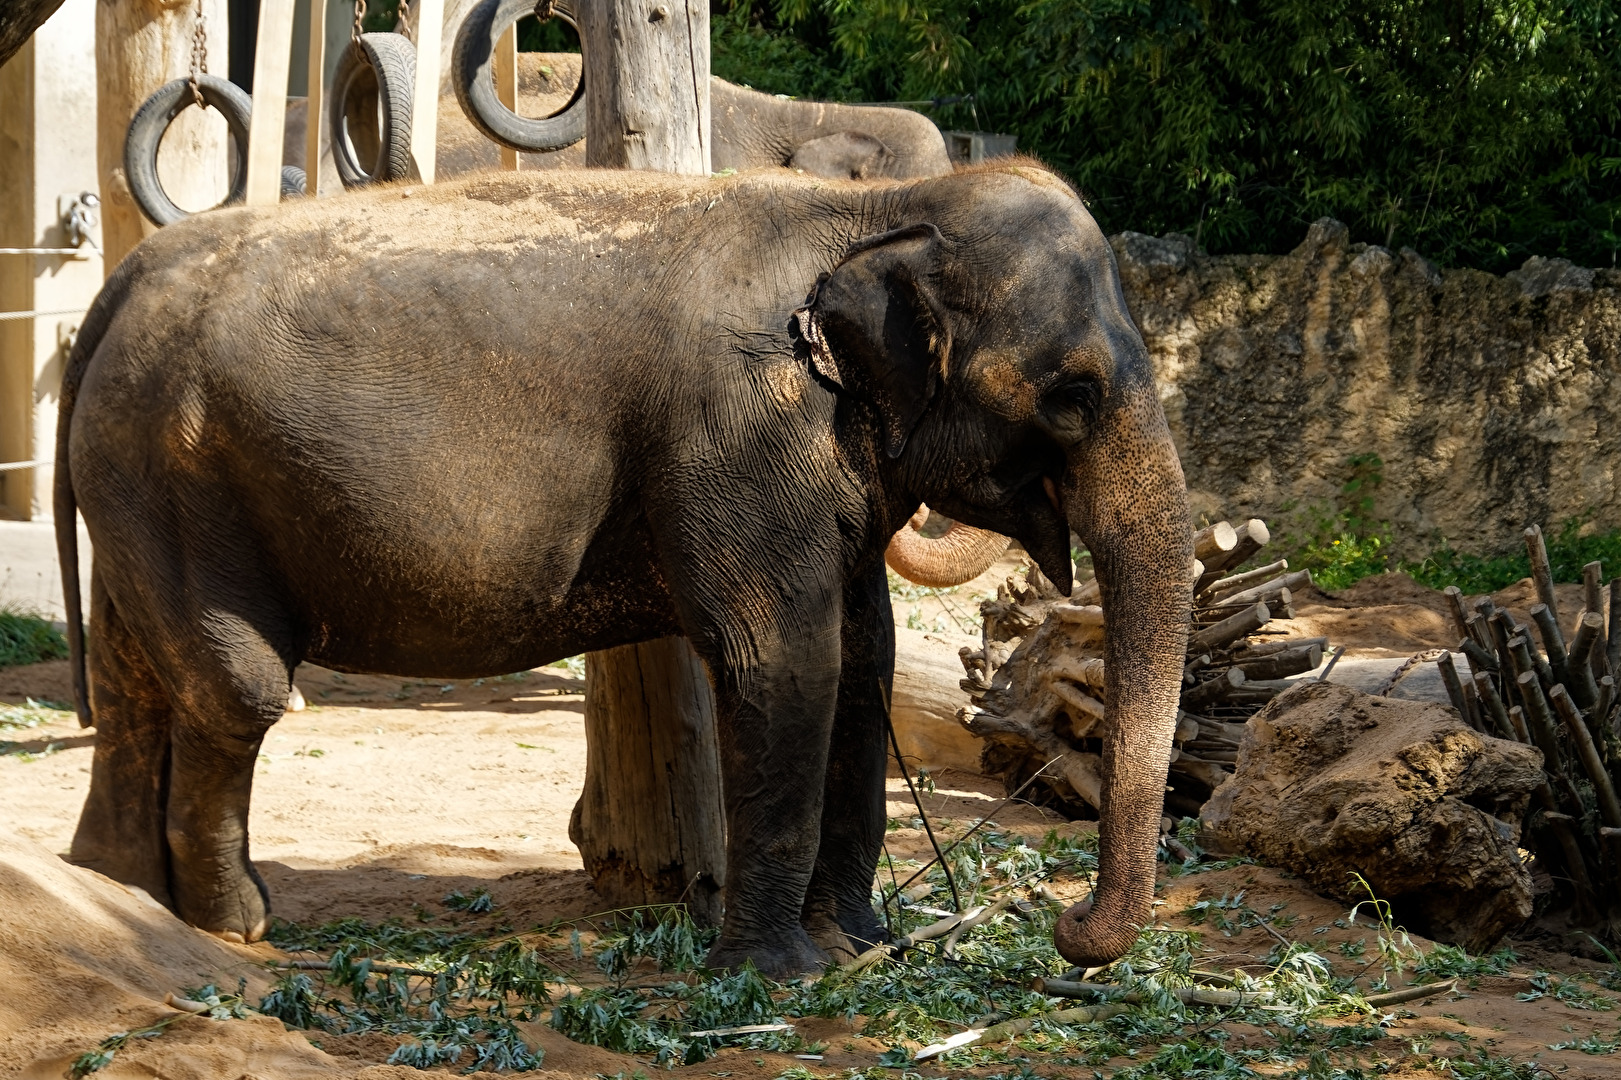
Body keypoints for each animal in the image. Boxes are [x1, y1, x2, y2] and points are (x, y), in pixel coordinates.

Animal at [55, 161, 1193, 977]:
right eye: (1073, 397)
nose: (1066, 928)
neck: (877, 207)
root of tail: (125, 279)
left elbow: (862, 659)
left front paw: (856, 948)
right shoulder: (739, 438)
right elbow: (785, 664)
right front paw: (775, 976)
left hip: (136, 478)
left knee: (131, 679)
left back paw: (114, 894)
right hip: (184, 475)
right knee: (235, 689)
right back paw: (234, 927)